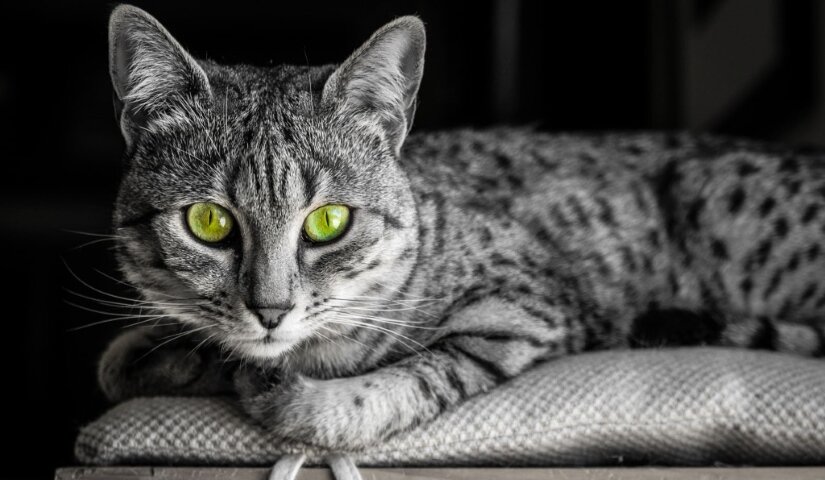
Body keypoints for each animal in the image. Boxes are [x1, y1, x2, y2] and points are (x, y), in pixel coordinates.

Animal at [96, 4, 824, 450]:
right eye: (208, 221)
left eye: (329, 222)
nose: (269, 310)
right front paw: (167, 352)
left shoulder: (525, 310)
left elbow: (399, 384)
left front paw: (296, 397)